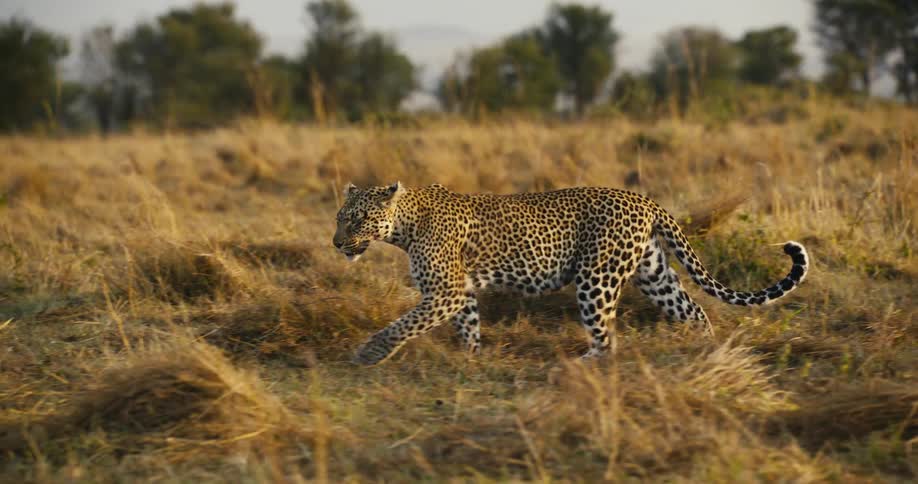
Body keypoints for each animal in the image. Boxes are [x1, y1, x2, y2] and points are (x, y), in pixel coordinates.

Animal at [333, 182, 809, 366]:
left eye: (357, 220)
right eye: (339, 218)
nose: (337, 243)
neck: (404, 226)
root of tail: (645, 200)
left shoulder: (445, 292)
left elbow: (402, 325)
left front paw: (369, 354)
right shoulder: (459, 293)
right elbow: (467, 327)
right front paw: (470, 360)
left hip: (596, 278)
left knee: (606, 338)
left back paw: (577, 367)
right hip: (654, 275)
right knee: (694, 311)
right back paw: (704, 354)